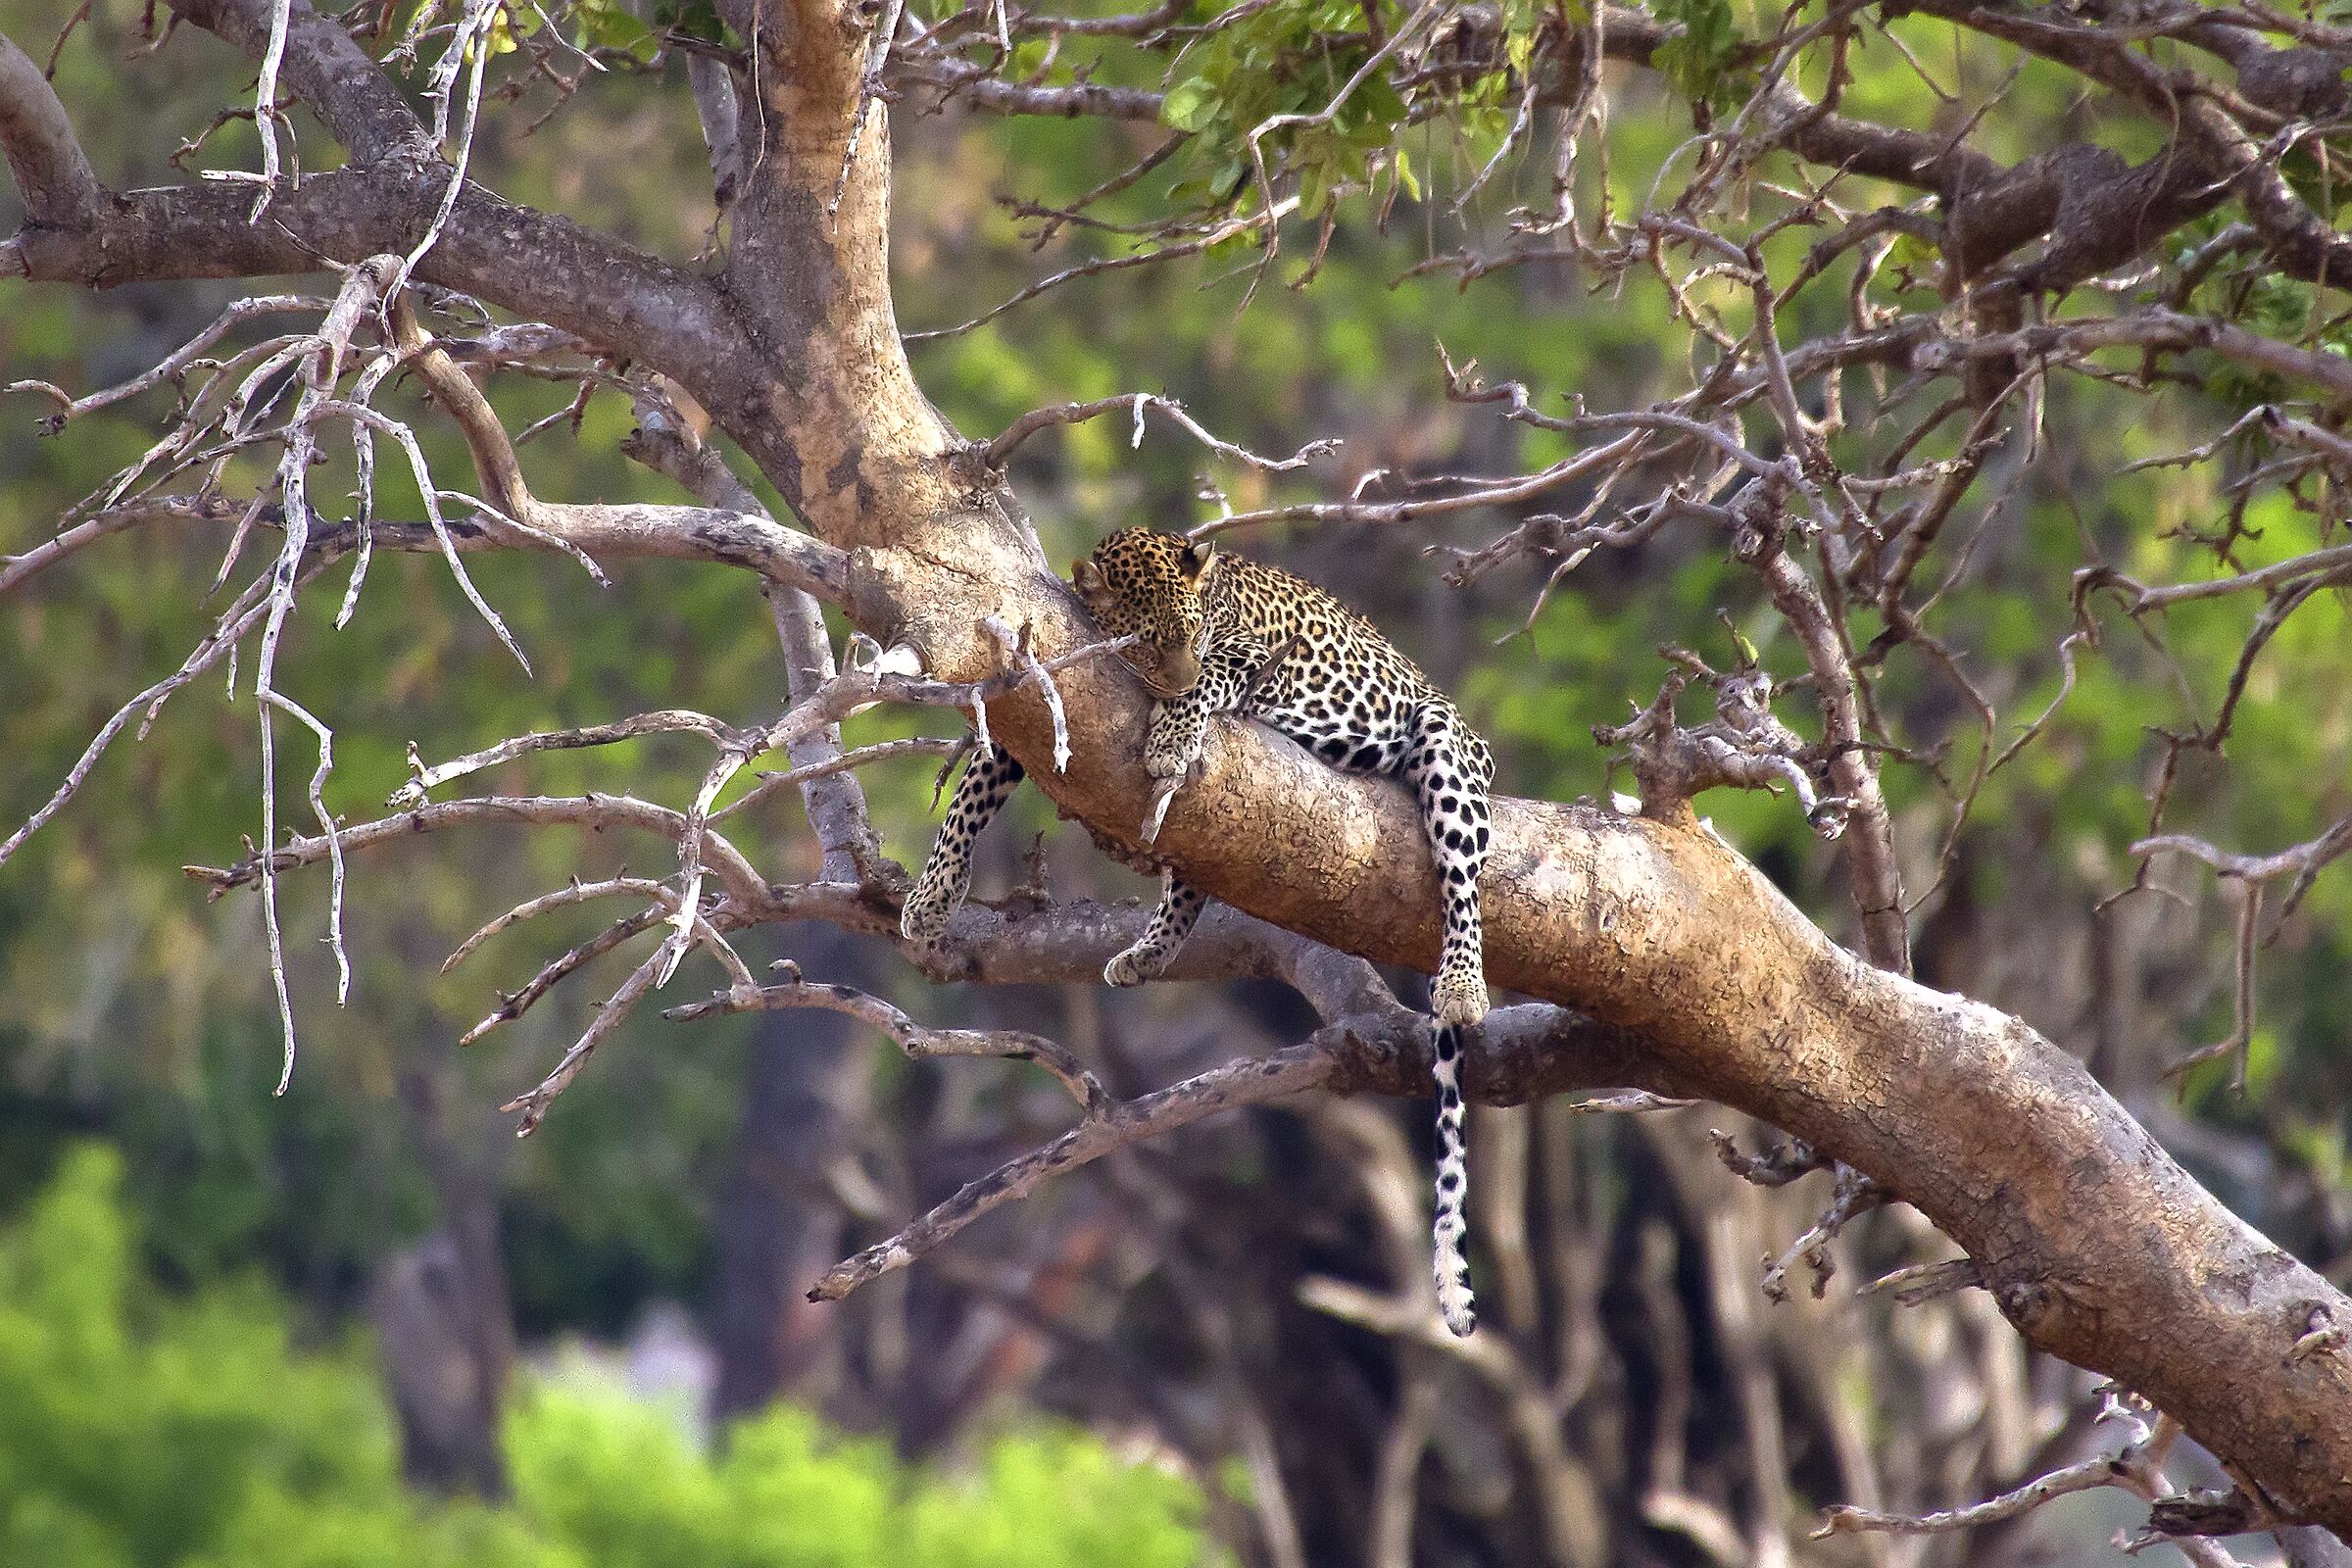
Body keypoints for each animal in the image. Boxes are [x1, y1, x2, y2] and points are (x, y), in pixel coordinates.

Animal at [899, 527, 1495, 1336]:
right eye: (1147, 642)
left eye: (1189, 633)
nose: (1168, 683)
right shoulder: (1039, 702)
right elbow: (972, 794)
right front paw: (932, 895)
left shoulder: (1247, 651)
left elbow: (1211, 678)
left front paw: (1173, 734)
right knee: (1195, 868)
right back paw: (1148, 950)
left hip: (1446, 746)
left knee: (1462, 880)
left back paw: (1462, 984)